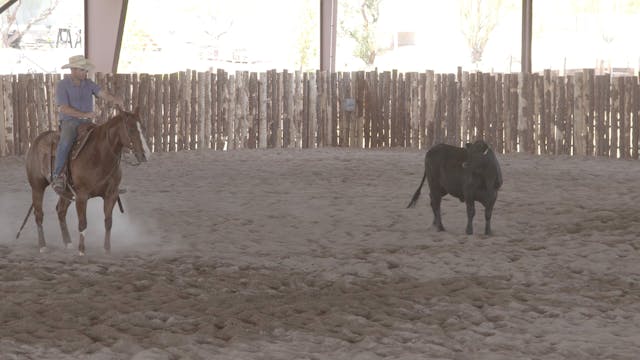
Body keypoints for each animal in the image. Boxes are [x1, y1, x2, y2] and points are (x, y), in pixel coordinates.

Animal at [19, 108, 150, 255]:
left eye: (143, 128)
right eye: (131, 129)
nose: (146, 154)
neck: (99, 155)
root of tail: (36, 140)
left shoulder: (111, 195)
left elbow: (108, 222)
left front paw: (107, 249)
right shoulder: (82, 196)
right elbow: (83, 223)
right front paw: (81, 250)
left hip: (67, 191)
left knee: (61, 211)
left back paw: (68, 243)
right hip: (37, 186)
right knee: (39, 214)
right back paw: (43, 246)